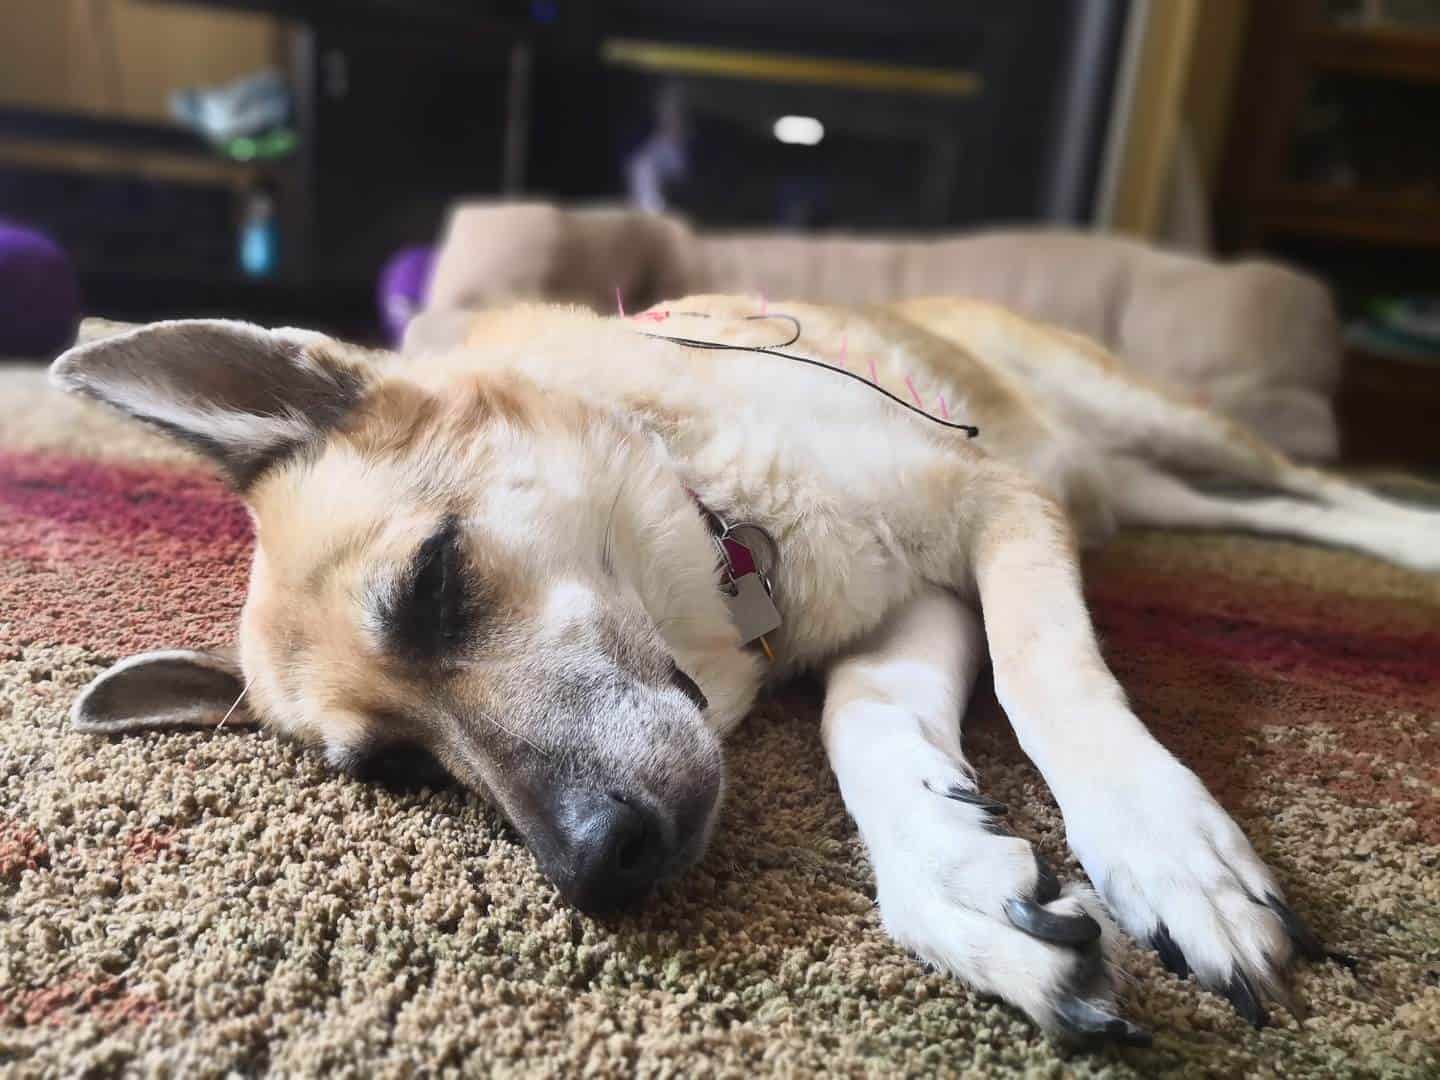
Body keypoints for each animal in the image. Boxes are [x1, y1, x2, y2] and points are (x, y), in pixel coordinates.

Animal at [47, 296, 1440, 1048]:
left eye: (434, 583)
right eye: (394, 771)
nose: (597, 869)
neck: (719, 518)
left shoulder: (995, 508)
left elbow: (1048, 678)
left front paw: (1162, 852)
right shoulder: (908, 615)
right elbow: (866, 736)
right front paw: (969, 897)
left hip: (1150, 420)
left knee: (1309, 491)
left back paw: (1408, 533)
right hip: (1129, 481)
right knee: (1255, 512)